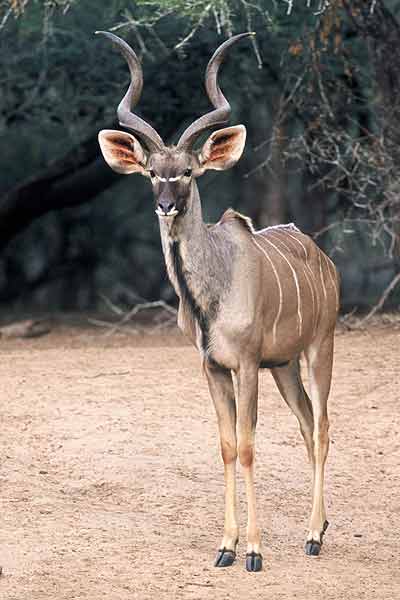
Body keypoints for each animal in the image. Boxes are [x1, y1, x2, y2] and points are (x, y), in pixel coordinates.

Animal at [97, 31, 340, 572]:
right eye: (151, 172)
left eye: (188, 171)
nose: (166, 205)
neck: (213, 291)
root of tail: (323, 259)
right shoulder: (212, 367)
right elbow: (227, 445)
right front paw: (226, 546)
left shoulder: (246, 365)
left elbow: (248, 445)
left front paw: (253, 550)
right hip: (284, 366)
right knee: (305, 423)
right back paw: (318, 529)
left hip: (320, 349)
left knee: (322, 426)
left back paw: (314, 537)